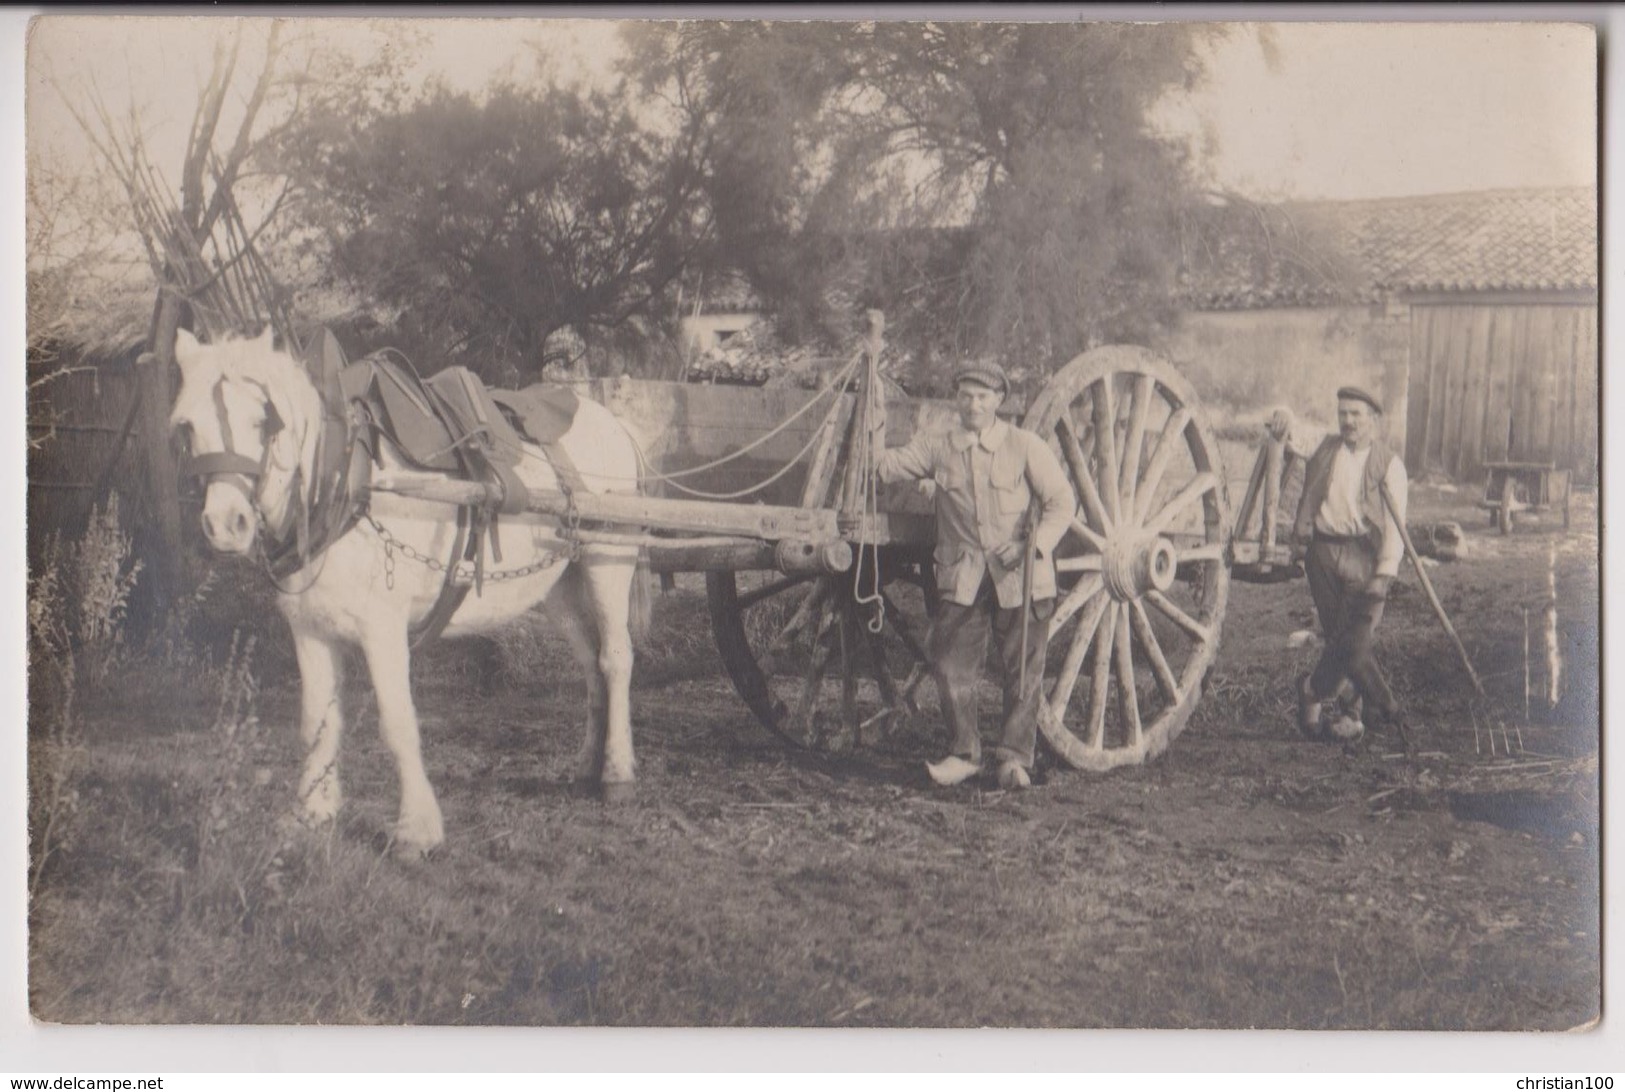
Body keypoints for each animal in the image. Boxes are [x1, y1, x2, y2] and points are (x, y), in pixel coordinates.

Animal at [169, 328, 640, 858]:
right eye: (187, 426)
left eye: (263, 421)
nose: (225, 525)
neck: (344, 483)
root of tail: (612, 422)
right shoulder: (309, 629)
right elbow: (316, 721)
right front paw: (312, 811)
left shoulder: (383, 629)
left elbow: (397, 722)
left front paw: (416, 828)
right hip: (560, 586)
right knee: (590, 666)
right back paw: (587, 766)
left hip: (607, 561)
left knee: (615, 659)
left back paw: (617, 773)